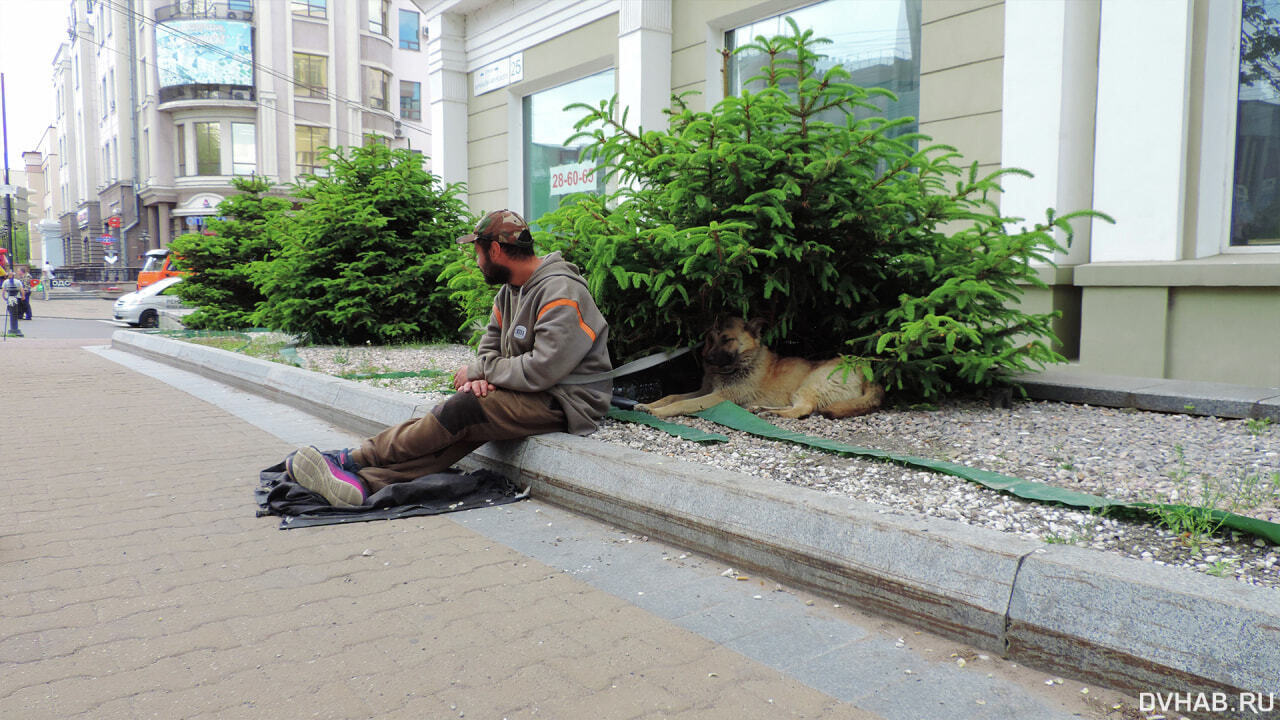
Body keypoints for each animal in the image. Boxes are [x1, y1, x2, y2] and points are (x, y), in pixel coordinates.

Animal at [634, 316, 885, 417]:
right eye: (710, 338)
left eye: (727, 339)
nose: (708, 360)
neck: (744, 361)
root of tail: (863, 369)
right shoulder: (704, 390)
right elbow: (673, 396)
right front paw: (648, 405)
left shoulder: (718, 397)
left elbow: (681, 403)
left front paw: (657, 412)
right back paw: (761, 409)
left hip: (809, 384)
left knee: (803, 410)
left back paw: (770, 413)